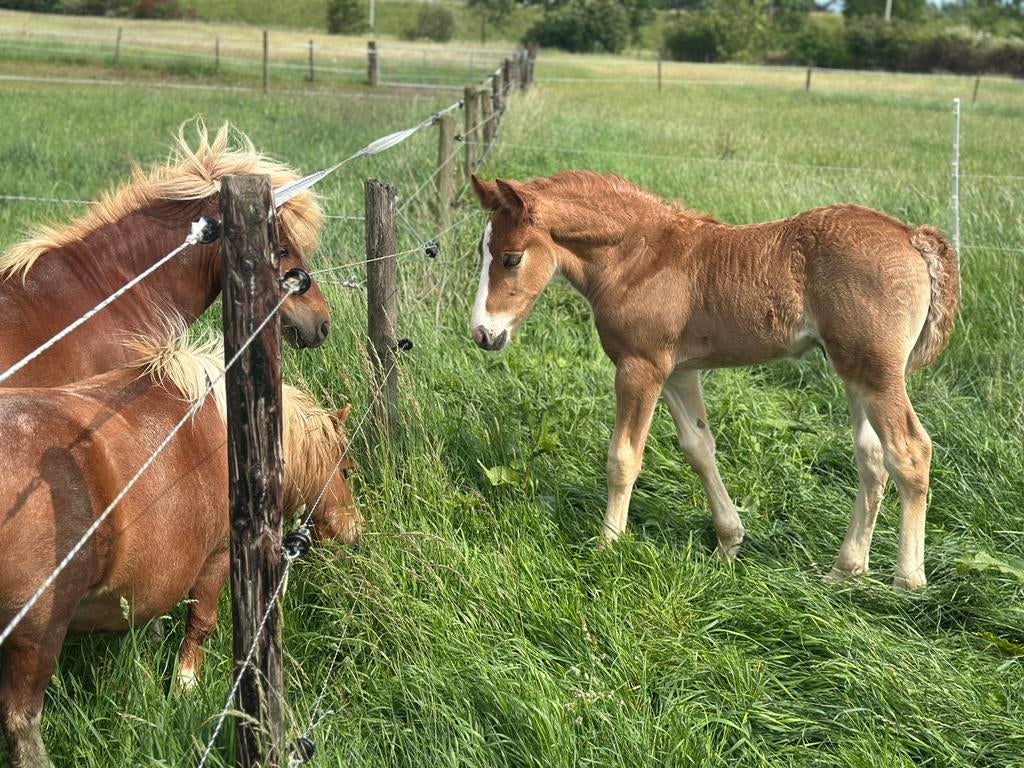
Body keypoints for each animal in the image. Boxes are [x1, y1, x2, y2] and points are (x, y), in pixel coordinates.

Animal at [0, 325, 360, 768]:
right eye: (346, 469)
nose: (355, 532)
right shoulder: (217, 559)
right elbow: (201, 625)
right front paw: (185, 687)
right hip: (36, 638)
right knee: (22, 722)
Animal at [469, 171, 959, 593]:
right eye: (482, 251)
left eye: (512, 258)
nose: (482, 334)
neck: (637, 258)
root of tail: (911, 236)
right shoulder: (678, 372)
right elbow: (699, 449)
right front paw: (729, 542)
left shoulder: (639, 367)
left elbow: (623, 458)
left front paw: (608, 545)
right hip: (854, 371)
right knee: (872, 459)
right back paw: (844, 570)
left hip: (876, 372)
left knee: (910, 453)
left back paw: (907, 581)